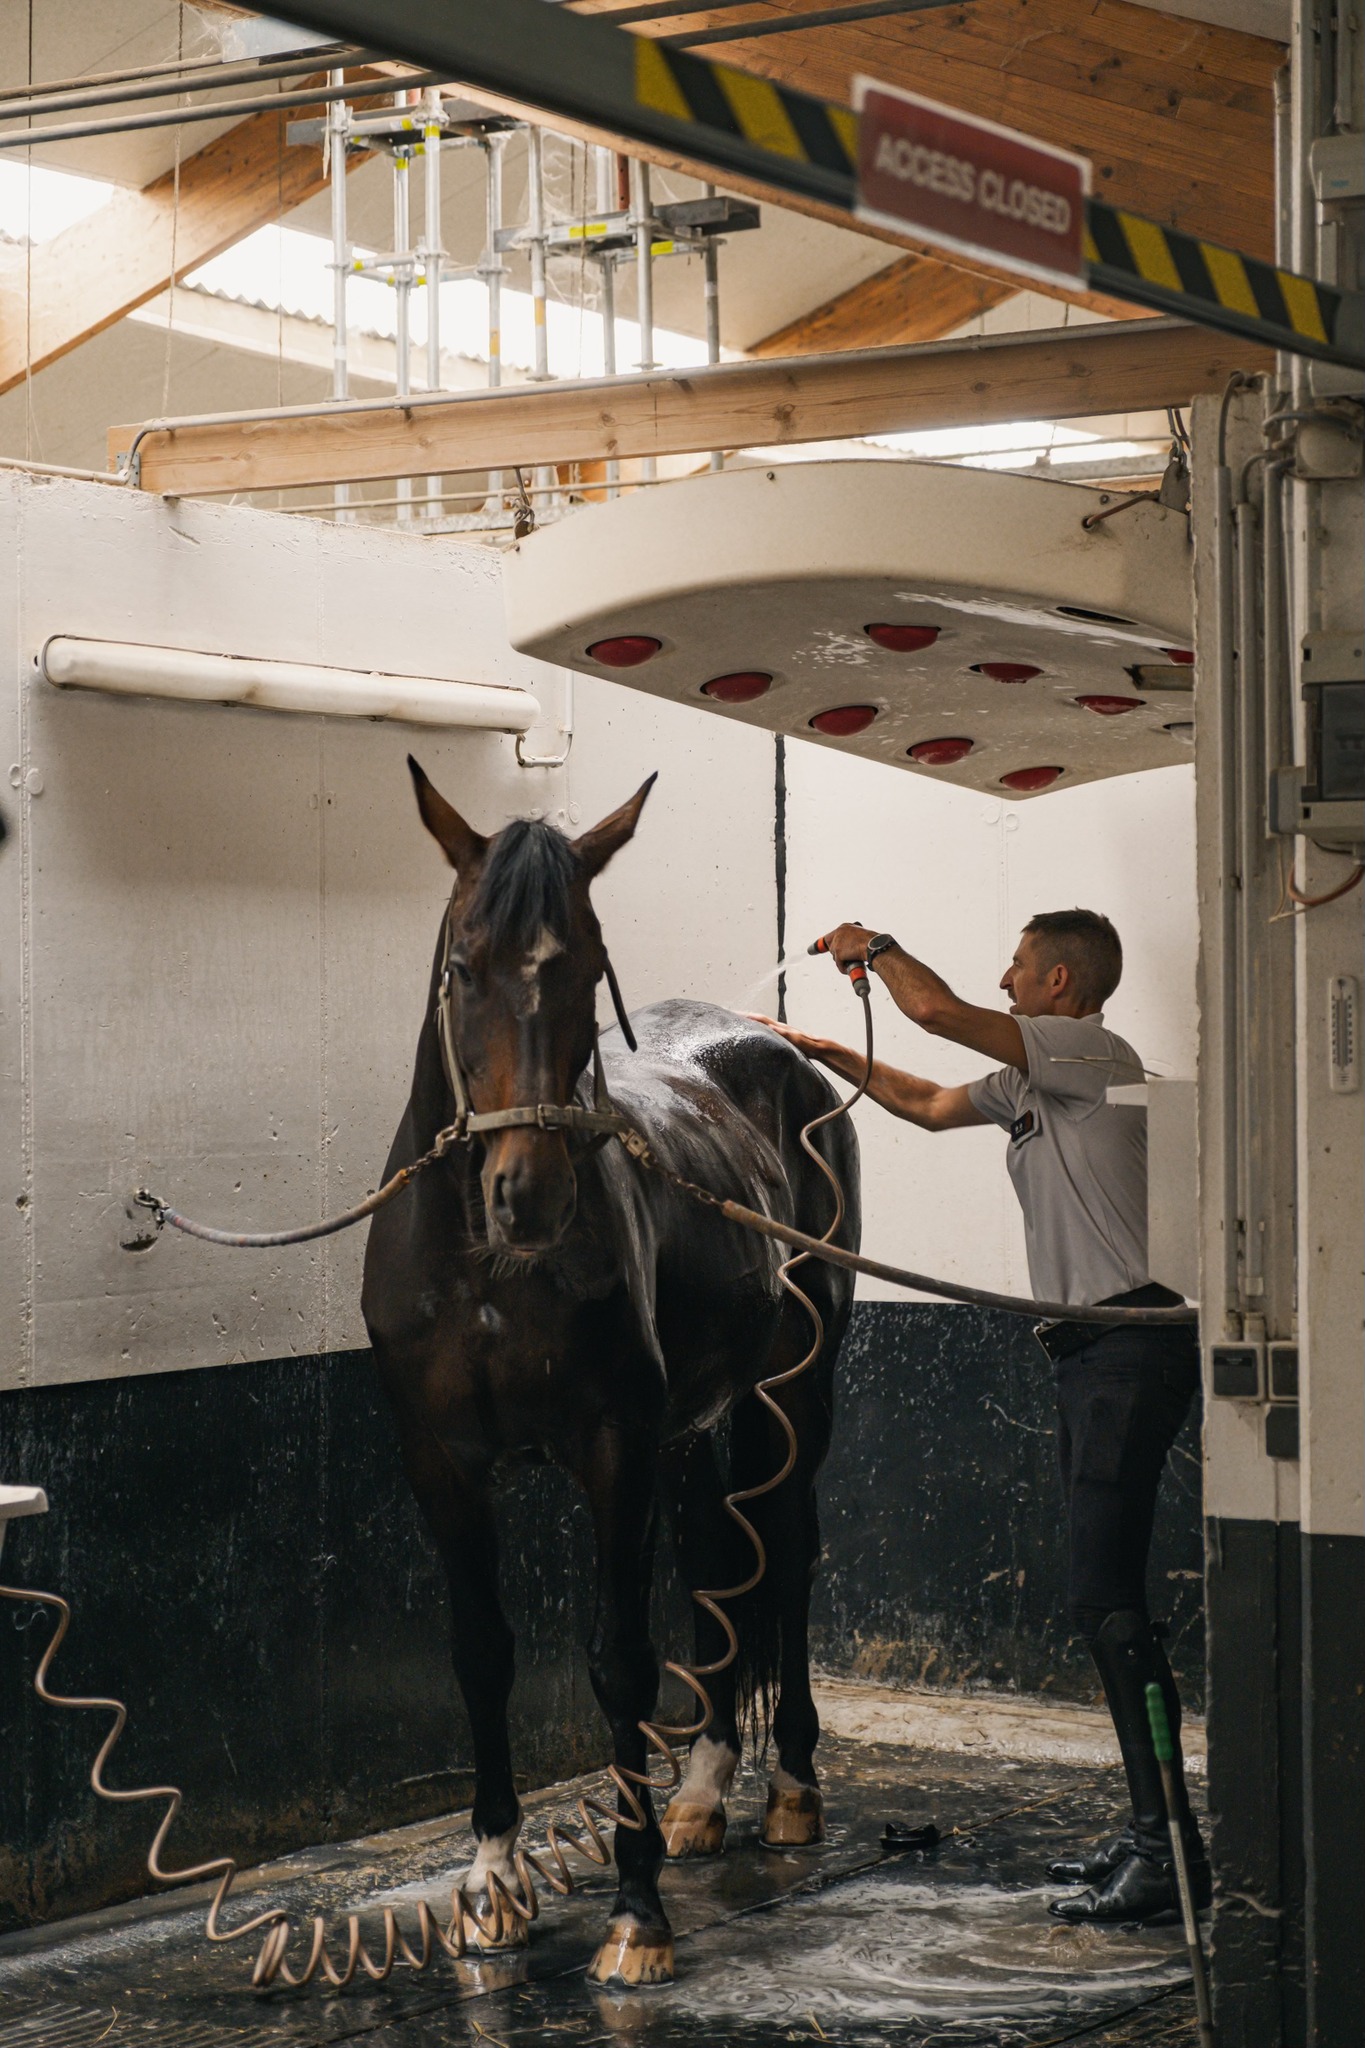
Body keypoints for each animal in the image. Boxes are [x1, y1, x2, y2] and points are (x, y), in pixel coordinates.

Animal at [360, 759, 861, 1988]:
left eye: (588, 966)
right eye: (462, 966)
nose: (527, 1193)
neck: (487, 1266)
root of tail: (773, 1044)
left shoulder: (612, 1450)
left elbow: (620, 1663)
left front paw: (636, 1916)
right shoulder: (442, 1463)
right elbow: (482, 1654)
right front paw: (491, 1886)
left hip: (792, 1398)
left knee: (786, 1555)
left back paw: (789, 1787)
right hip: (692, 1428)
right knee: (720, 1560)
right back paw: (699, 1797)